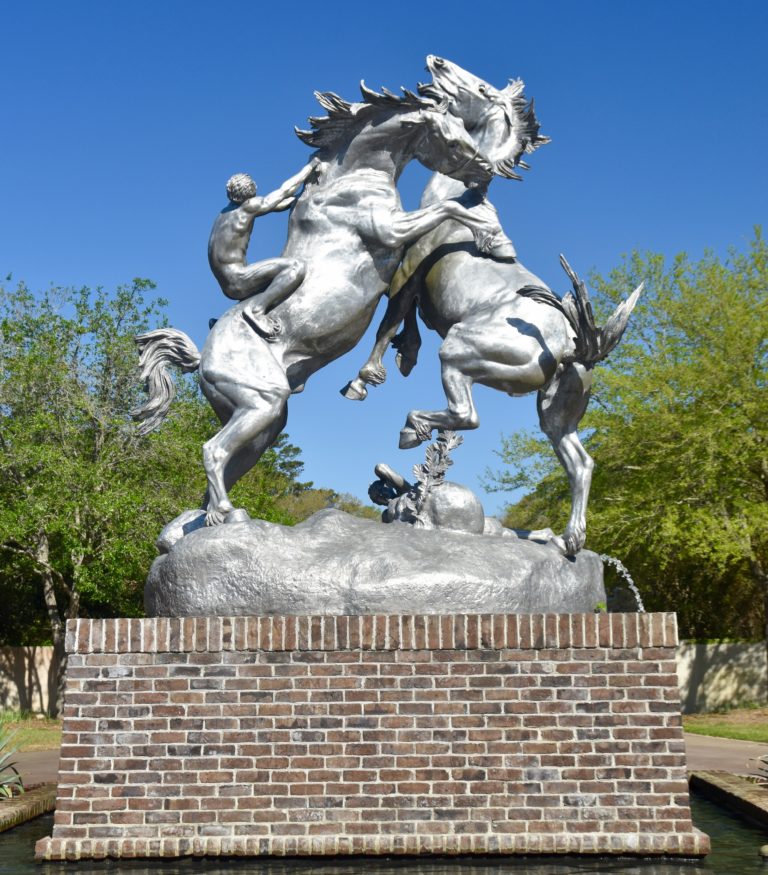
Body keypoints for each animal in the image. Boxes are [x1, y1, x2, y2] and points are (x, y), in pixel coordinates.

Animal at [134, 75, 500, 524]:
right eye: (449, 139)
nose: (485, 172)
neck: (353, 179)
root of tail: (202, 358)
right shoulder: (391, 231)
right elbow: (446, 210)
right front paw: (488, 232)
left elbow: (401, 306)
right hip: (261, 405)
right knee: (213, 450)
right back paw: (227, 513)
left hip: (263, 424)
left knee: (228, 463)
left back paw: (211, 519)